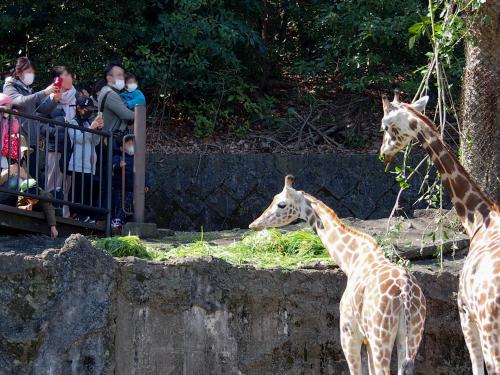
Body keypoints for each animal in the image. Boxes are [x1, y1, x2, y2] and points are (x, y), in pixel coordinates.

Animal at [250, 176, 426, 375]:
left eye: (281, 204)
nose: (254, 224)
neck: (352, 260)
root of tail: (405, 294)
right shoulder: (366, 339)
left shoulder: (349, 334)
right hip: (411, 335)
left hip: (380, 336)